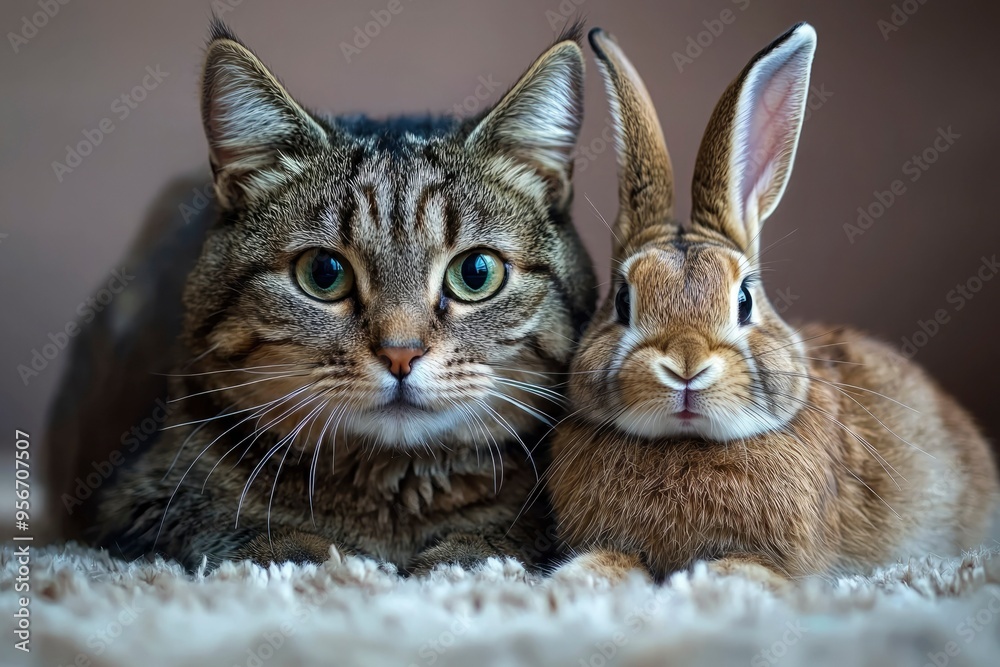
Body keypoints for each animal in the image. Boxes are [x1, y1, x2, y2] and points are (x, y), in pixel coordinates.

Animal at [80, 22, 592, 576]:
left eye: (476, 273)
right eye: (324, 273)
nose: (400, 354)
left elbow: (513, 541)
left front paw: (469, 553)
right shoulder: (128, 505)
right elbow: (225, 529)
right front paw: (306, 553)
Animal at [552, 26, 996, 588]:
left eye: (744, 299)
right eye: (623, 301)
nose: (686, 367)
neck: (686, 443)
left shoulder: (786, 564)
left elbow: (747, 573)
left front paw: (711, 584)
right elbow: (610, 560)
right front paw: (578, 579)